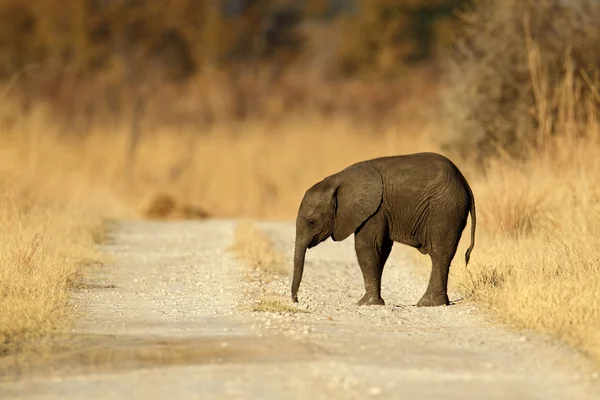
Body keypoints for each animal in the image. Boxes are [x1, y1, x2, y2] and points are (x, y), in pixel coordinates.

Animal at [292, 152, 478, 308]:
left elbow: (366, 246)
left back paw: (427, 304)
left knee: (439, 252)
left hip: (444, 210)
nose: (296, 300)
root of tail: (466, 184)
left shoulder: (375, 210)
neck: (337, 181)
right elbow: (381, 250)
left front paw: (366, 304)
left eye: (311, 222)